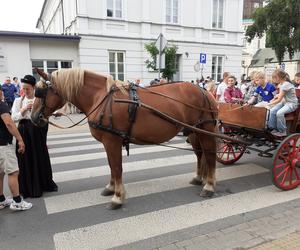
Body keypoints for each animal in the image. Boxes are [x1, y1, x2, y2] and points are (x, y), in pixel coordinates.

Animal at [31, 68, 218, 209]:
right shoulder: (108, 143)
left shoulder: (112, 141)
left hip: (205, 131)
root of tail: (204, 91)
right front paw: (111, 187)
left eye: (40, 92)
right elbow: (111, 166)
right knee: (200, 155)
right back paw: (199, 178)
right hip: (193, 132)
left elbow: (116, 167)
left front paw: (118, 197)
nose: (33, 118)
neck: (101, 98)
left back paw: (209, 186)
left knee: (209, 155)